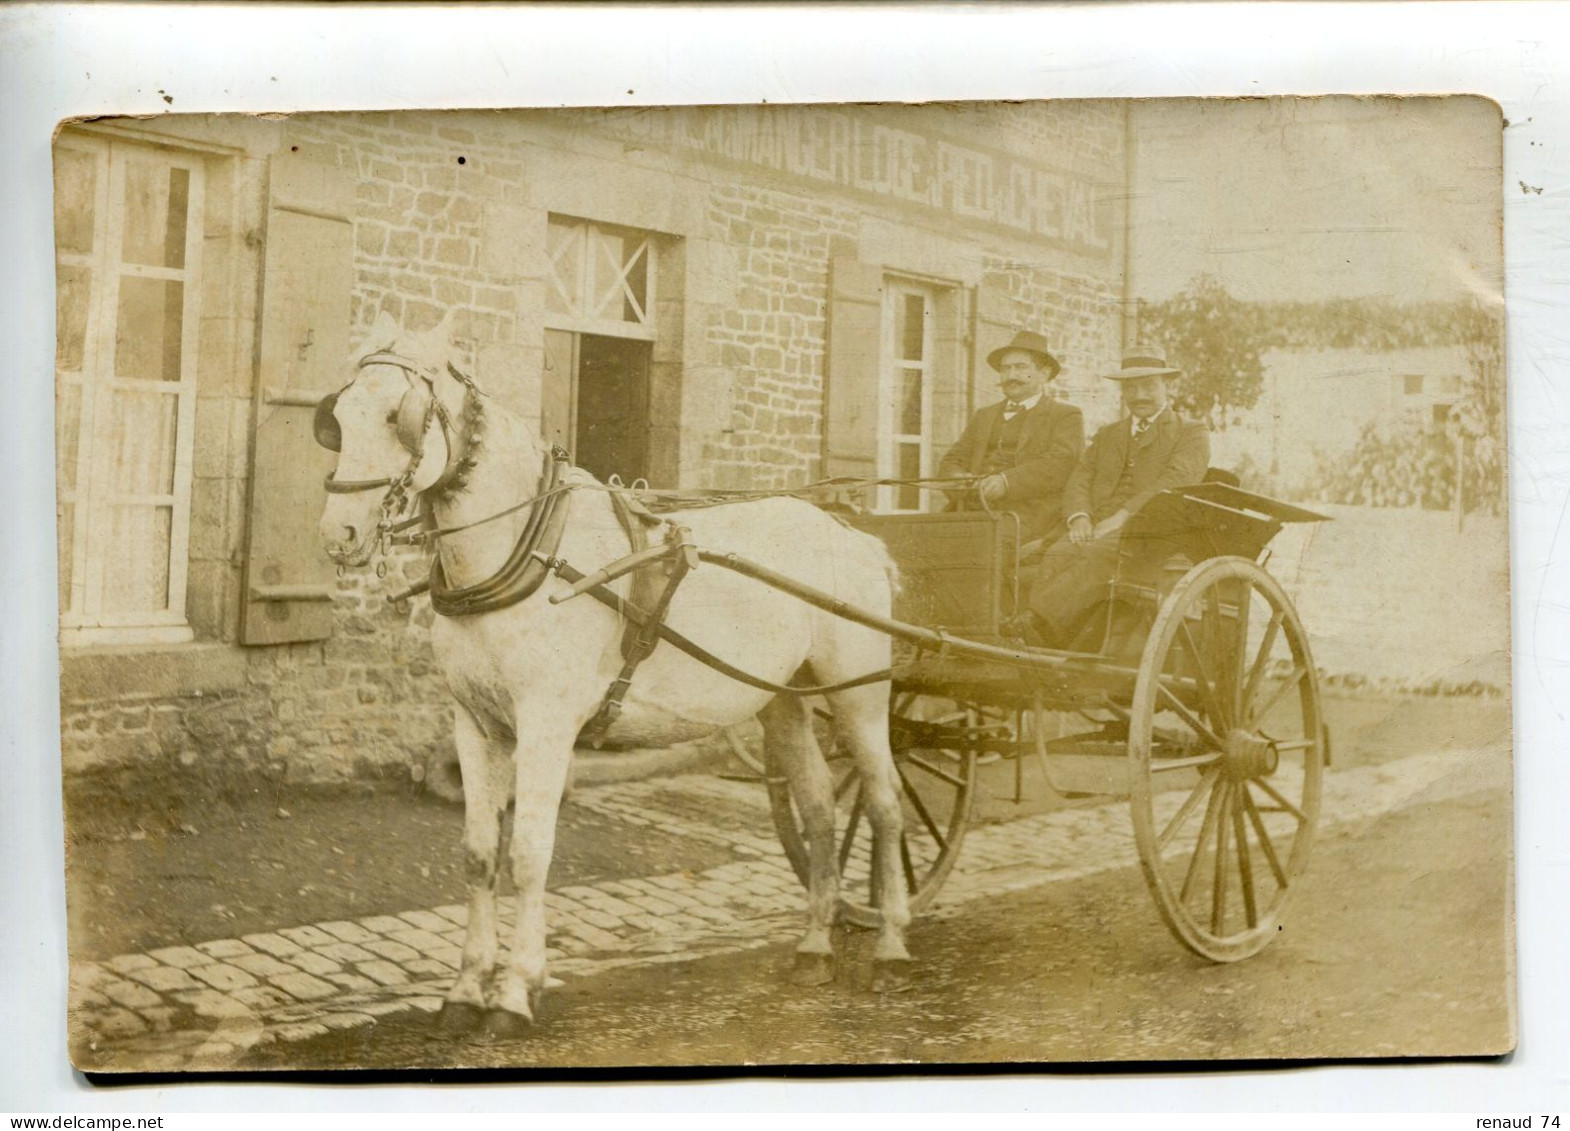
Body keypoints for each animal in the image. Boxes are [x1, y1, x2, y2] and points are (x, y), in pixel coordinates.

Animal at [314, 314, 916, 1036]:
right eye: (337, 415)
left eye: (397, 416)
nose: (340, 534)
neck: (527, 547)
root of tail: (855, 535)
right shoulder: (475, 723)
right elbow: (479, 852)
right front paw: (464, 988)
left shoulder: (546, 724)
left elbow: (529, 852)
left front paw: (514, 991)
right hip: (786, 700)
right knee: (822, 810)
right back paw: (815, 946)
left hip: (859, 696)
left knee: (884, 806)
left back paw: (890, 946)